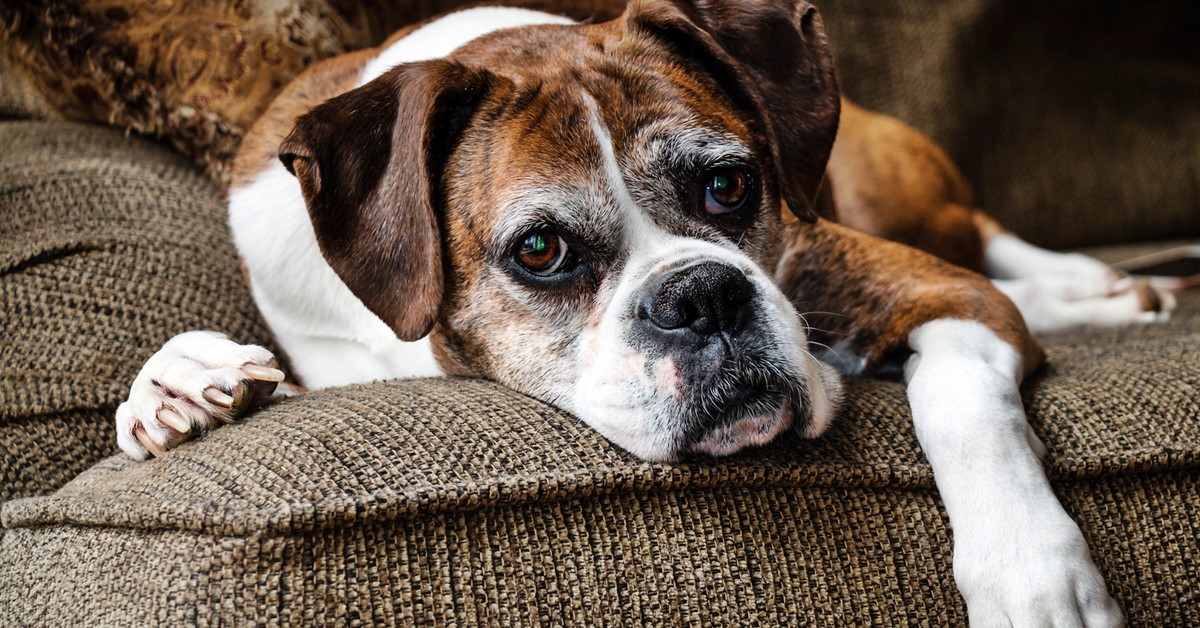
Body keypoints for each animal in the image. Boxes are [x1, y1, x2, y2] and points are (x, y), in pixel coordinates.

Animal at [114, 2, 1171, 624]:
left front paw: (1033, 573)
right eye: (540, 250)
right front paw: (181, 386)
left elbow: (960, 402)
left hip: (903, 196)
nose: (700, 295)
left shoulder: (944, 296)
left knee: (986, 235)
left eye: (729, 186)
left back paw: (1097, 288)